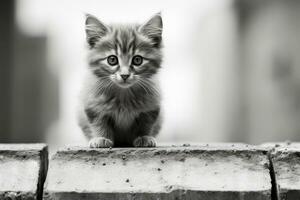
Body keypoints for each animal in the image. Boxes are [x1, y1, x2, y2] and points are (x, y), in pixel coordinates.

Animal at [77, 12, 162, 147]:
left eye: (137, 60)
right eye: (112, 60)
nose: (125, 75)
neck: (124, 95)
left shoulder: (151, 107)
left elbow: (145, 124)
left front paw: (144, 137)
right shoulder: (93, 105)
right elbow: (99, 123)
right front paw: (101, 138)